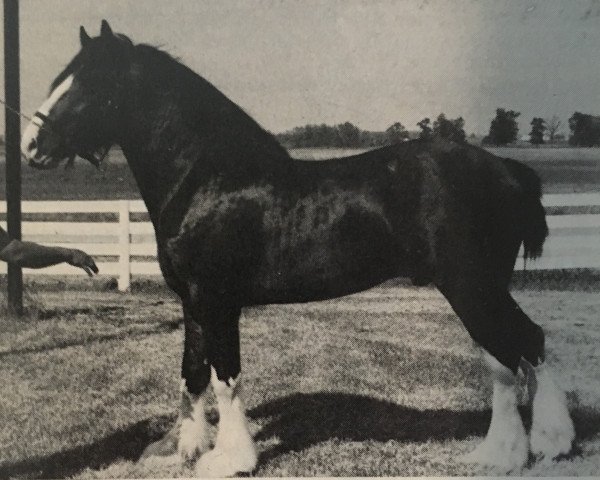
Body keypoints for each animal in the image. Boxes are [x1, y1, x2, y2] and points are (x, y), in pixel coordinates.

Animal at [21, 20, 576, 474]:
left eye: (91, 84)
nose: (30, 146)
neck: (208, 178)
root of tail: (508, 171)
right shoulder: (193, 302)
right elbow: (192, 375)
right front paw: (185, 448)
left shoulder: (217, 301)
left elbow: (225, 377)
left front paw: (230, 459)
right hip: (482, 289)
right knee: (522, 348)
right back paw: (535, 446)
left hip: (472, 287)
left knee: (513, 352)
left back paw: (515, 451)